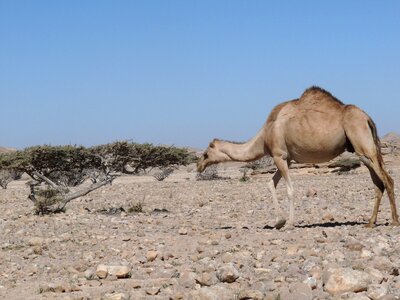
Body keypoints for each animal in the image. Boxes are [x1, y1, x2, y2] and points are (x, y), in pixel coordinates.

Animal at [198, 86, 398, 230]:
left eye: (206, 153)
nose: (199, 166)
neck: (264, 136)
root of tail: (367, 118)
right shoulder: (286, 158)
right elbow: (270, 184)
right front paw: (278, 221)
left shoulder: (279, 155)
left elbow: (289, 190)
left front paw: (288, 224)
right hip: (361, 151)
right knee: (377, 184)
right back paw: (370, 223)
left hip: (362, 142)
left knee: (387, 180)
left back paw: (395, 221)